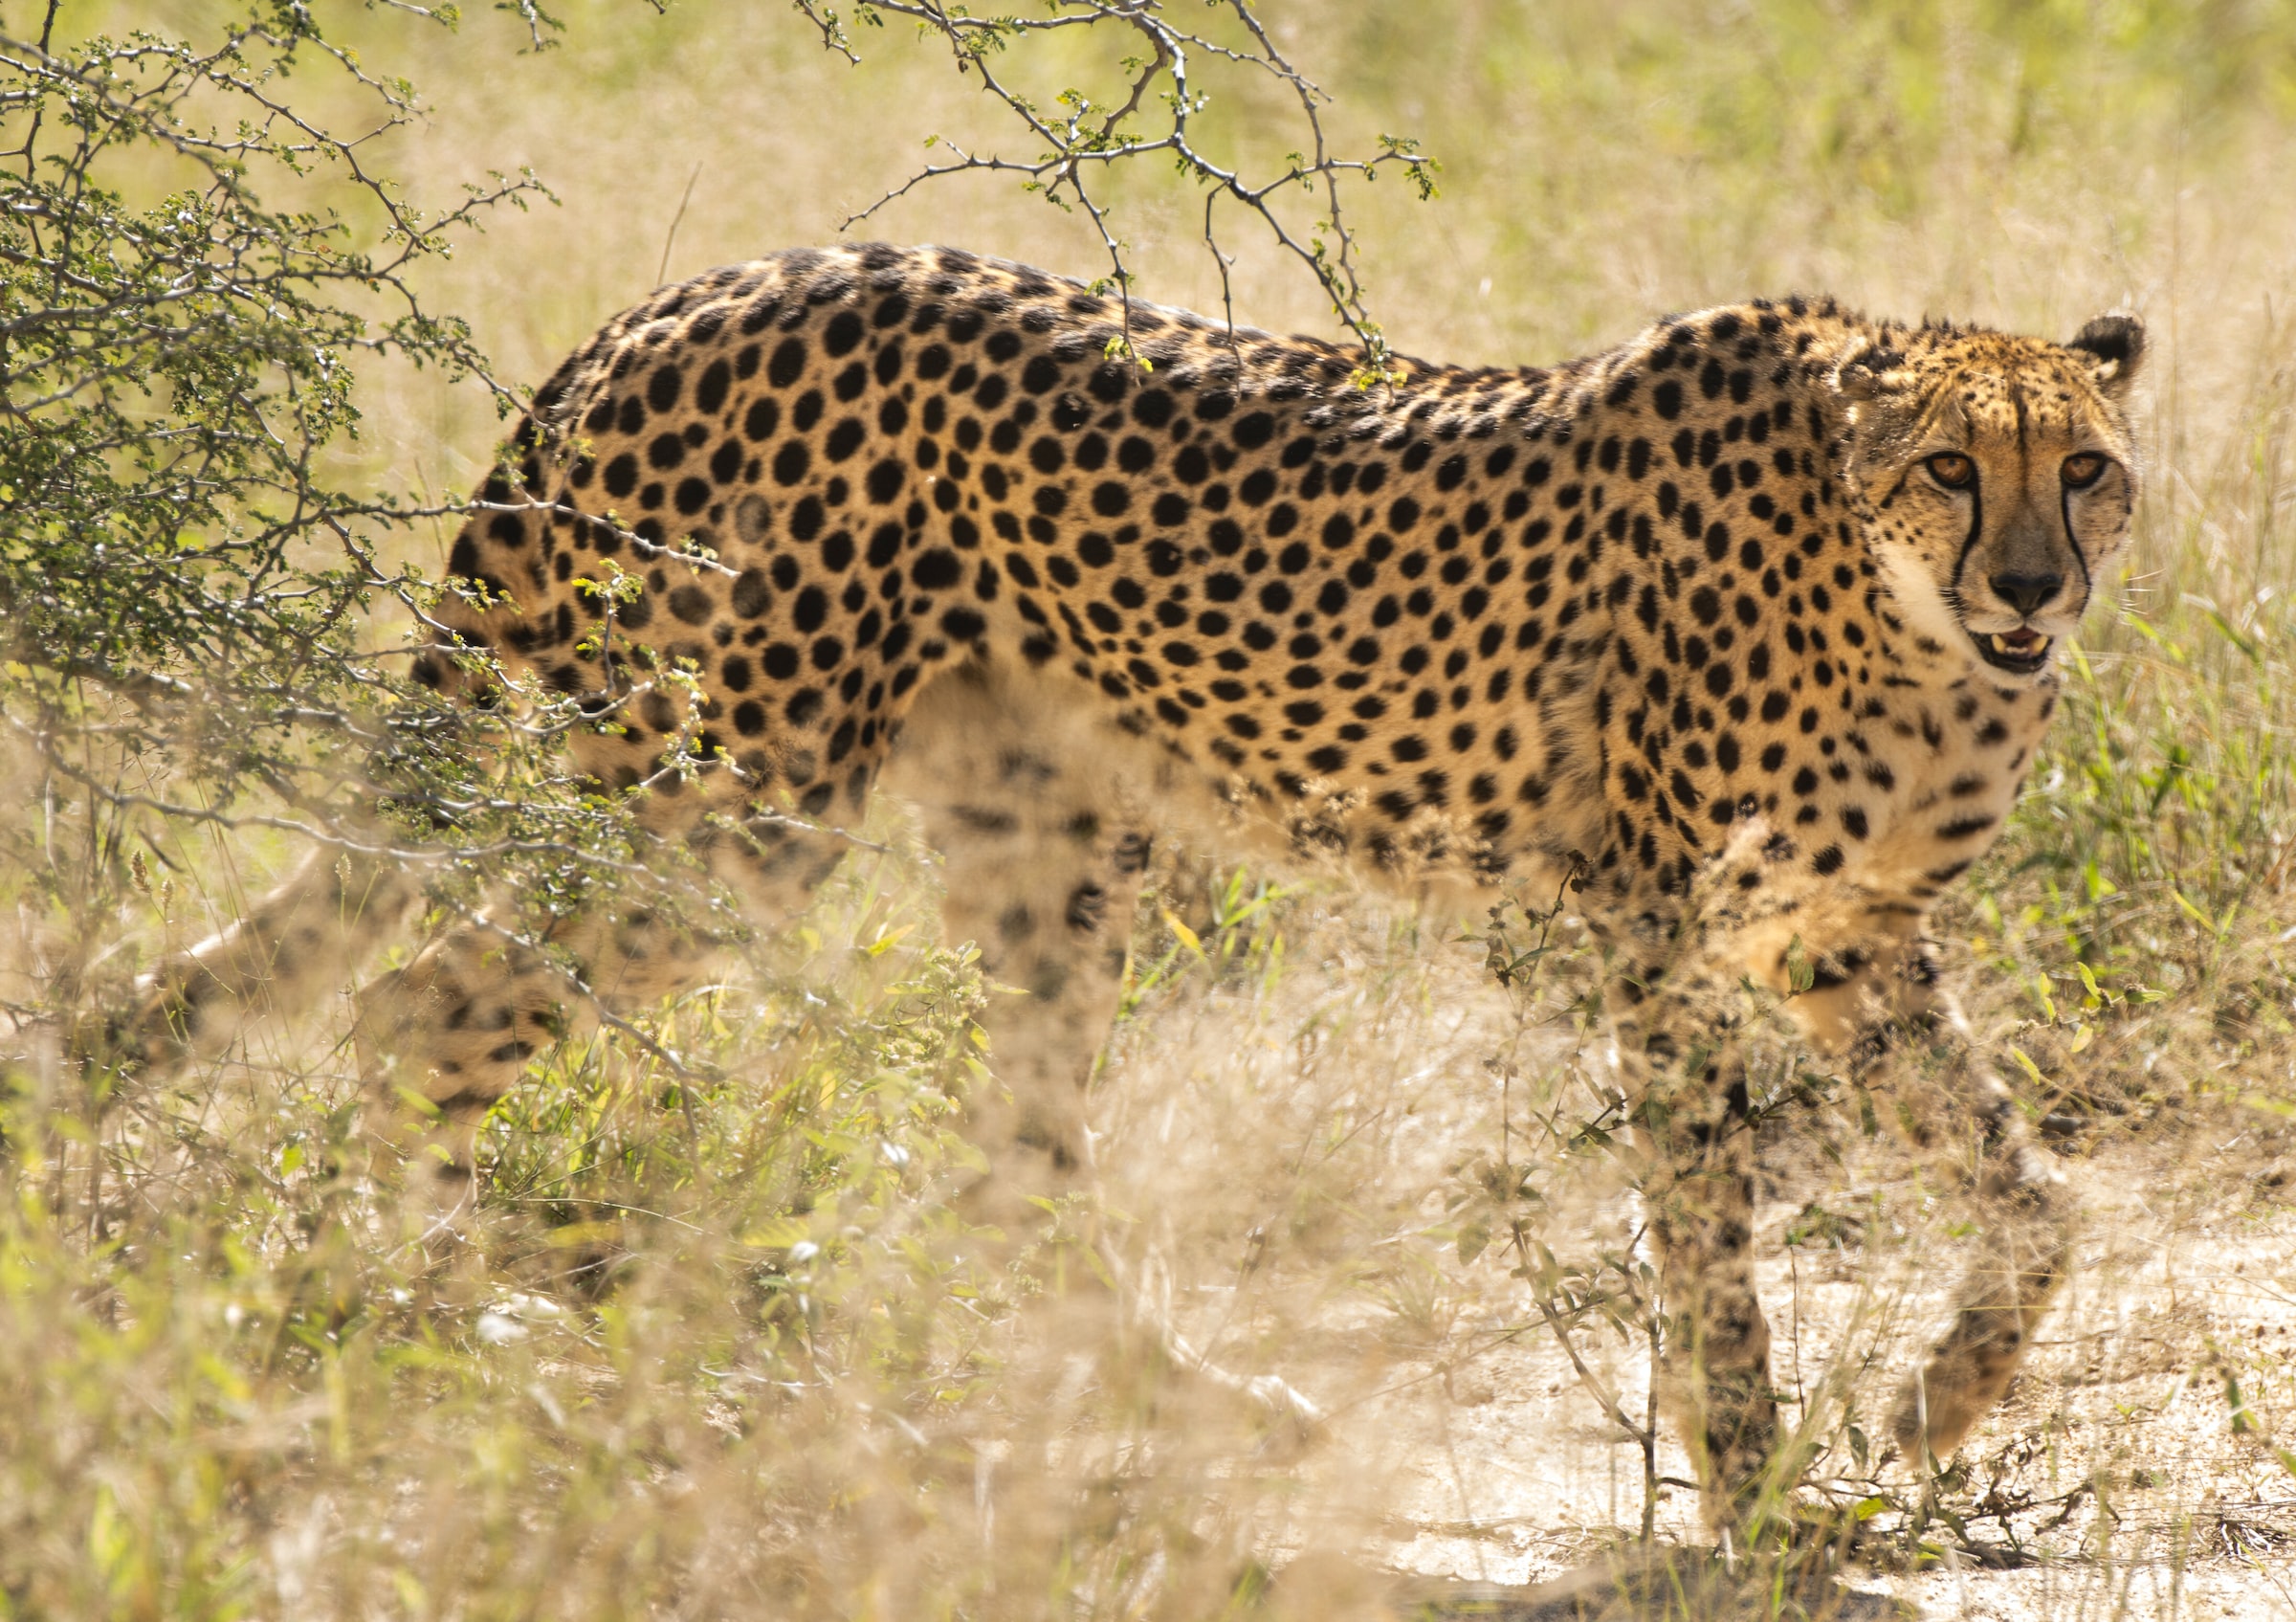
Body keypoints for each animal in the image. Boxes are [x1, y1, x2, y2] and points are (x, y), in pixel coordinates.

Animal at [134, 245, 2139, 1534]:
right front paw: (1755, 1486)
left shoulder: (1835, 938)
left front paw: (1943, 1400)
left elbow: (2030, 1188)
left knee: (1018, 1160)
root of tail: (681, 296)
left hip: (1028, 833)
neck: (1900, 610)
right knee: (416, 1012)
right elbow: (1711, 1230)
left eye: (2090, 472)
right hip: (737, 805)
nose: (2033, 587)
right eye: (1950, 467)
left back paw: (1188, 1404)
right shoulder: (1651, 923)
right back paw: (478, 1318)